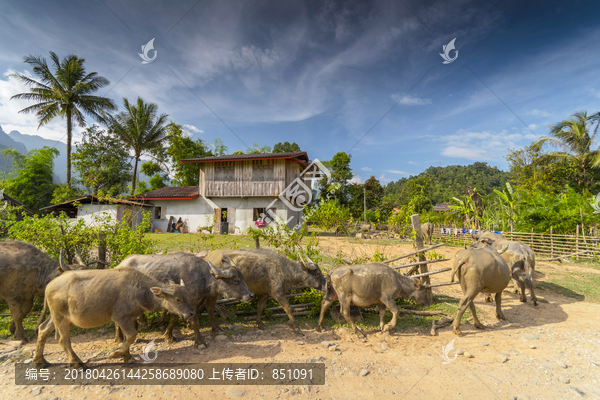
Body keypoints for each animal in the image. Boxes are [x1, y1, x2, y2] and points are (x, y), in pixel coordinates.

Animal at [33, 266, 195, 368]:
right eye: (178, 299)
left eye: (187, 295)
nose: (192, 313)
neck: (139, 289)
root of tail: (50, 285)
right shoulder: (120, 317)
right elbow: (131, 335)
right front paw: (114, 354)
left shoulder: (130, 318)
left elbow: (127, 337)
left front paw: (127, 357)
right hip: (60, 317)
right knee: (62, 339)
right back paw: (77, 363)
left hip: (56, 316)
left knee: (43, 330)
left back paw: (40, 361)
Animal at [115, 255, 253, 346]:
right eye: (236, 280)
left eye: (243, 277)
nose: (251, 295)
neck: (202, 277)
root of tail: (120, 264)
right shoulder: (189, 302)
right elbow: (195, 321)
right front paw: (200, 341)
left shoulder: (198, 300)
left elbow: (209, 312)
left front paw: (168, 335)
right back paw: (119, 338)